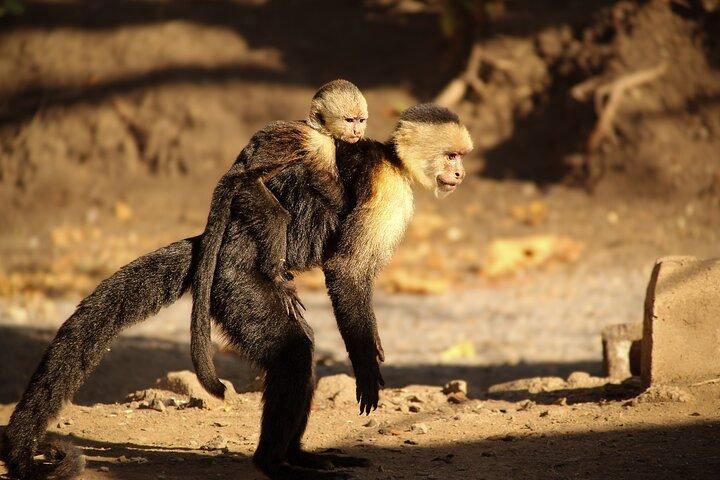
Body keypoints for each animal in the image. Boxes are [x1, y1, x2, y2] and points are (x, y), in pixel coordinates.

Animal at [1, 103, 471, 480]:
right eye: (451, 155)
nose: (460, 173)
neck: (395, 162)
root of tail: (221, 242)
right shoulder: (387, 189)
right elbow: (346, 271)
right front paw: (367, 367)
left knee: (298, 348)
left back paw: (299, 456)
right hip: (236, 284)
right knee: (292, 350)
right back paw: (274, 464)